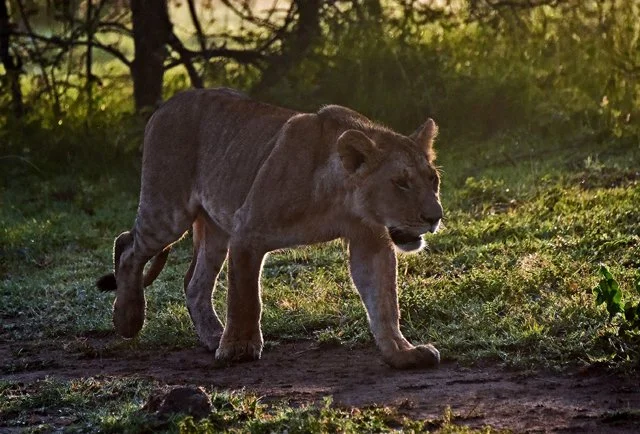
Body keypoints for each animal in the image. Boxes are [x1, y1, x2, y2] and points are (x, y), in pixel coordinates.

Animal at [97, 88, 443, 369]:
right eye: (400, 183)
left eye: (433, 179)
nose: (435, 216)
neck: (340, 199)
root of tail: (166, 104)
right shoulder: (247, 231)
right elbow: (245, 297)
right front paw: (239, 348)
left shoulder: (370, 240)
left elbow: (384, 301)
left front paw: (402, 353)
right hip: (168, 211)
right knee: (127, 246)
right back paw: (128, 319)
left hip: (215, 228)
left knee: (193, 282)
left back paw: (212, 336)